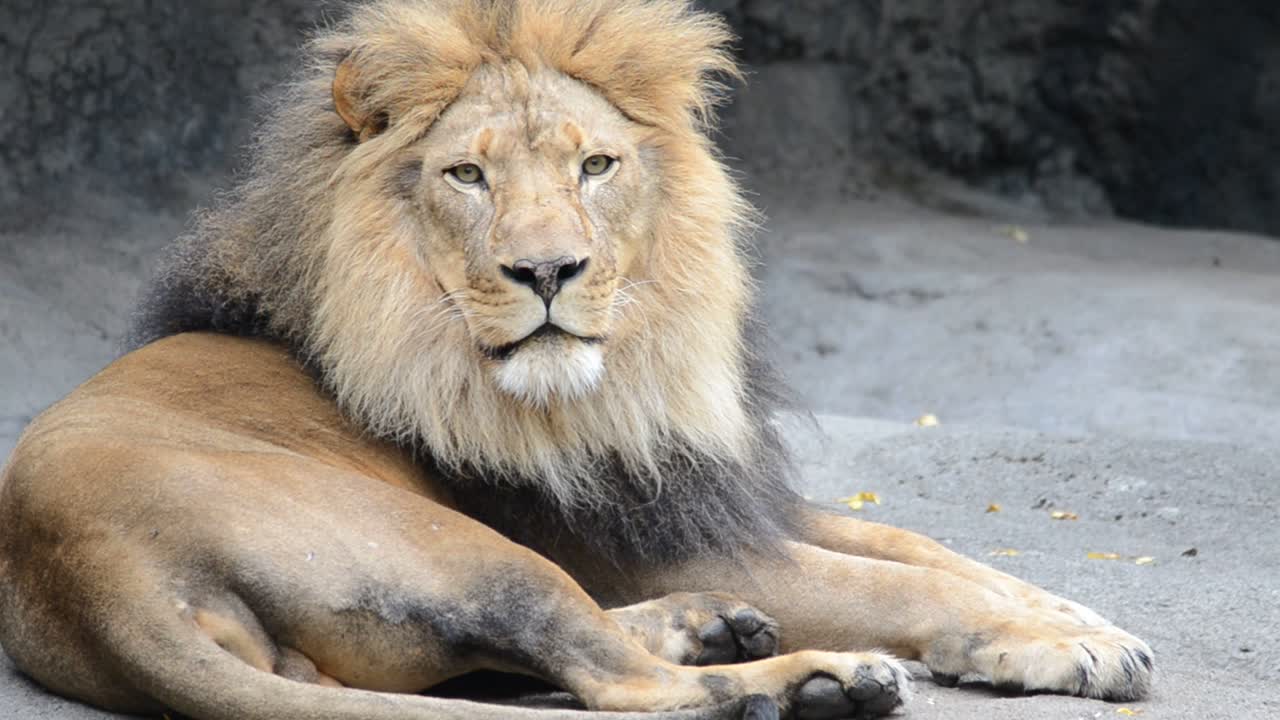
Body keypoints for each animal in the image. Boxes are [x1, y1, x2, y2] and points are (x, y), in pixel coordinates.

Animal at [0, 1, 1153, 718]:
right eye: (466, 176)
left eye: (595, 166)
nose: (548, 269)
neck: (620, 379)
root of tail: (92, 574)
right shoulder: (636, 533)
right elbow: (893, 586)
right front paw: (1074, 646)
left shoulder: (687, 487)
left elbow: (921, 547)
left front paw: (1074, 620)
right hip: (466, 547)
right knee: (617, 684)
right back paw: (811, 679)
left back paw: (713, 627)